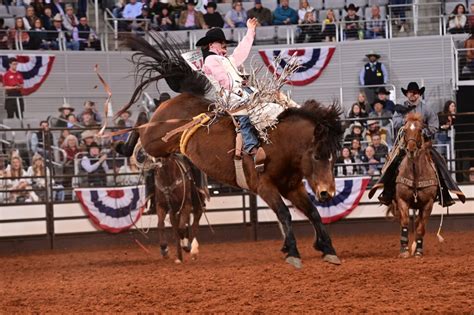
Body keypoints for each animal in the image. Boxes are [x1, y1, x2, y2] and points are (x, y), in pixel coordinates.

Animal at [115, 34, 344, 270]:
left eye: (334, 157)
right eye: (316, 155)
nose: (327, 193)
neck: (279, 143)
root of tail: (183, 97)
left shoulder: (292, 186)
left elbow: (313, 212)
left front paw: (327, 248)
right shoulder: (264, 187)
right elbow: (284, 214)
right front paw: (293, 252)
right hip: (154, 139)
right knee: (141, 126)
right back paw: (125, 144)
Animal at [386, 113, 438, 260]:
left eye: (420, 130)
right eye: (405, 130)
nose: (411, 150)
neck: (415, 172)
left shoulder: (428, 204)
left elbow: (421, 228)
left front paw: (418, 251)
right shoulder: (402, 200)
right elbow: (404, 223)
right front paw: (404, 250)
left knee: (419, 224)